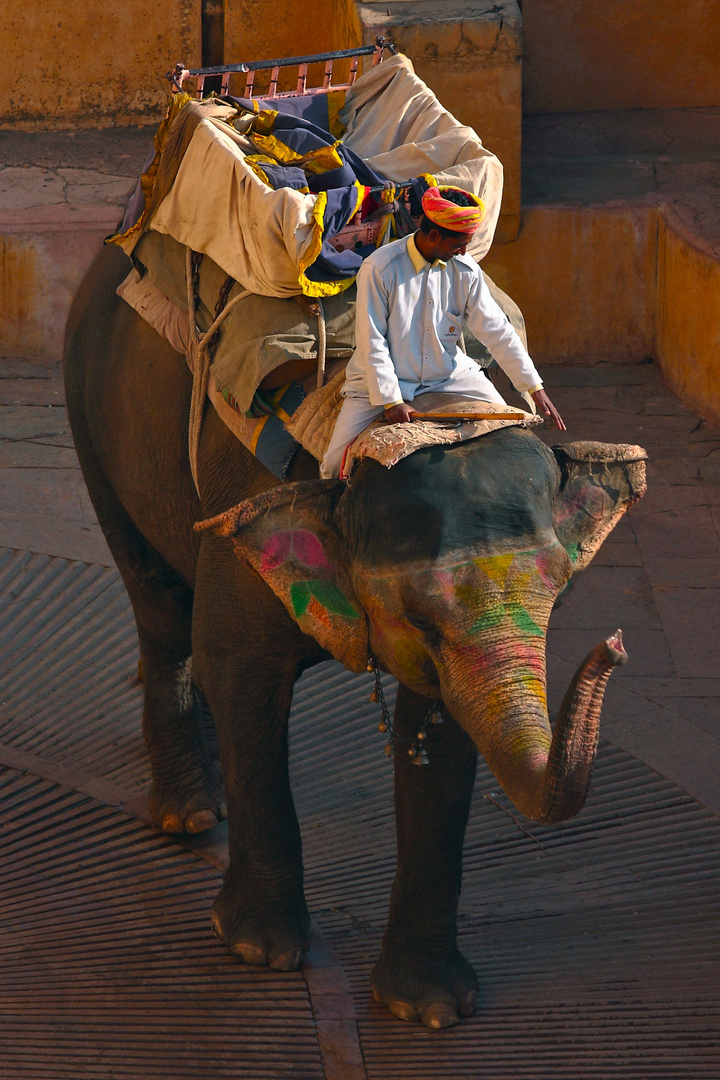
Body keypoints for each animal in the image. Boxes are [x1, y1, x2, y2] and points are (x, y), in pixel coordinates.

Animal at [62, 243, 647, 1028]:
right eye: (421, 618)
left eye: (560, 593)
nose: (613, 646)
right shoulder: (248, 515)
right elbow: (242, 677)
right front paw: (261, 952)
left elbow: (442, 731)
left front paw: (430, 1009)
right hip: (92, 416)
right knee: (160, 606)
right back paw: (190, 814)